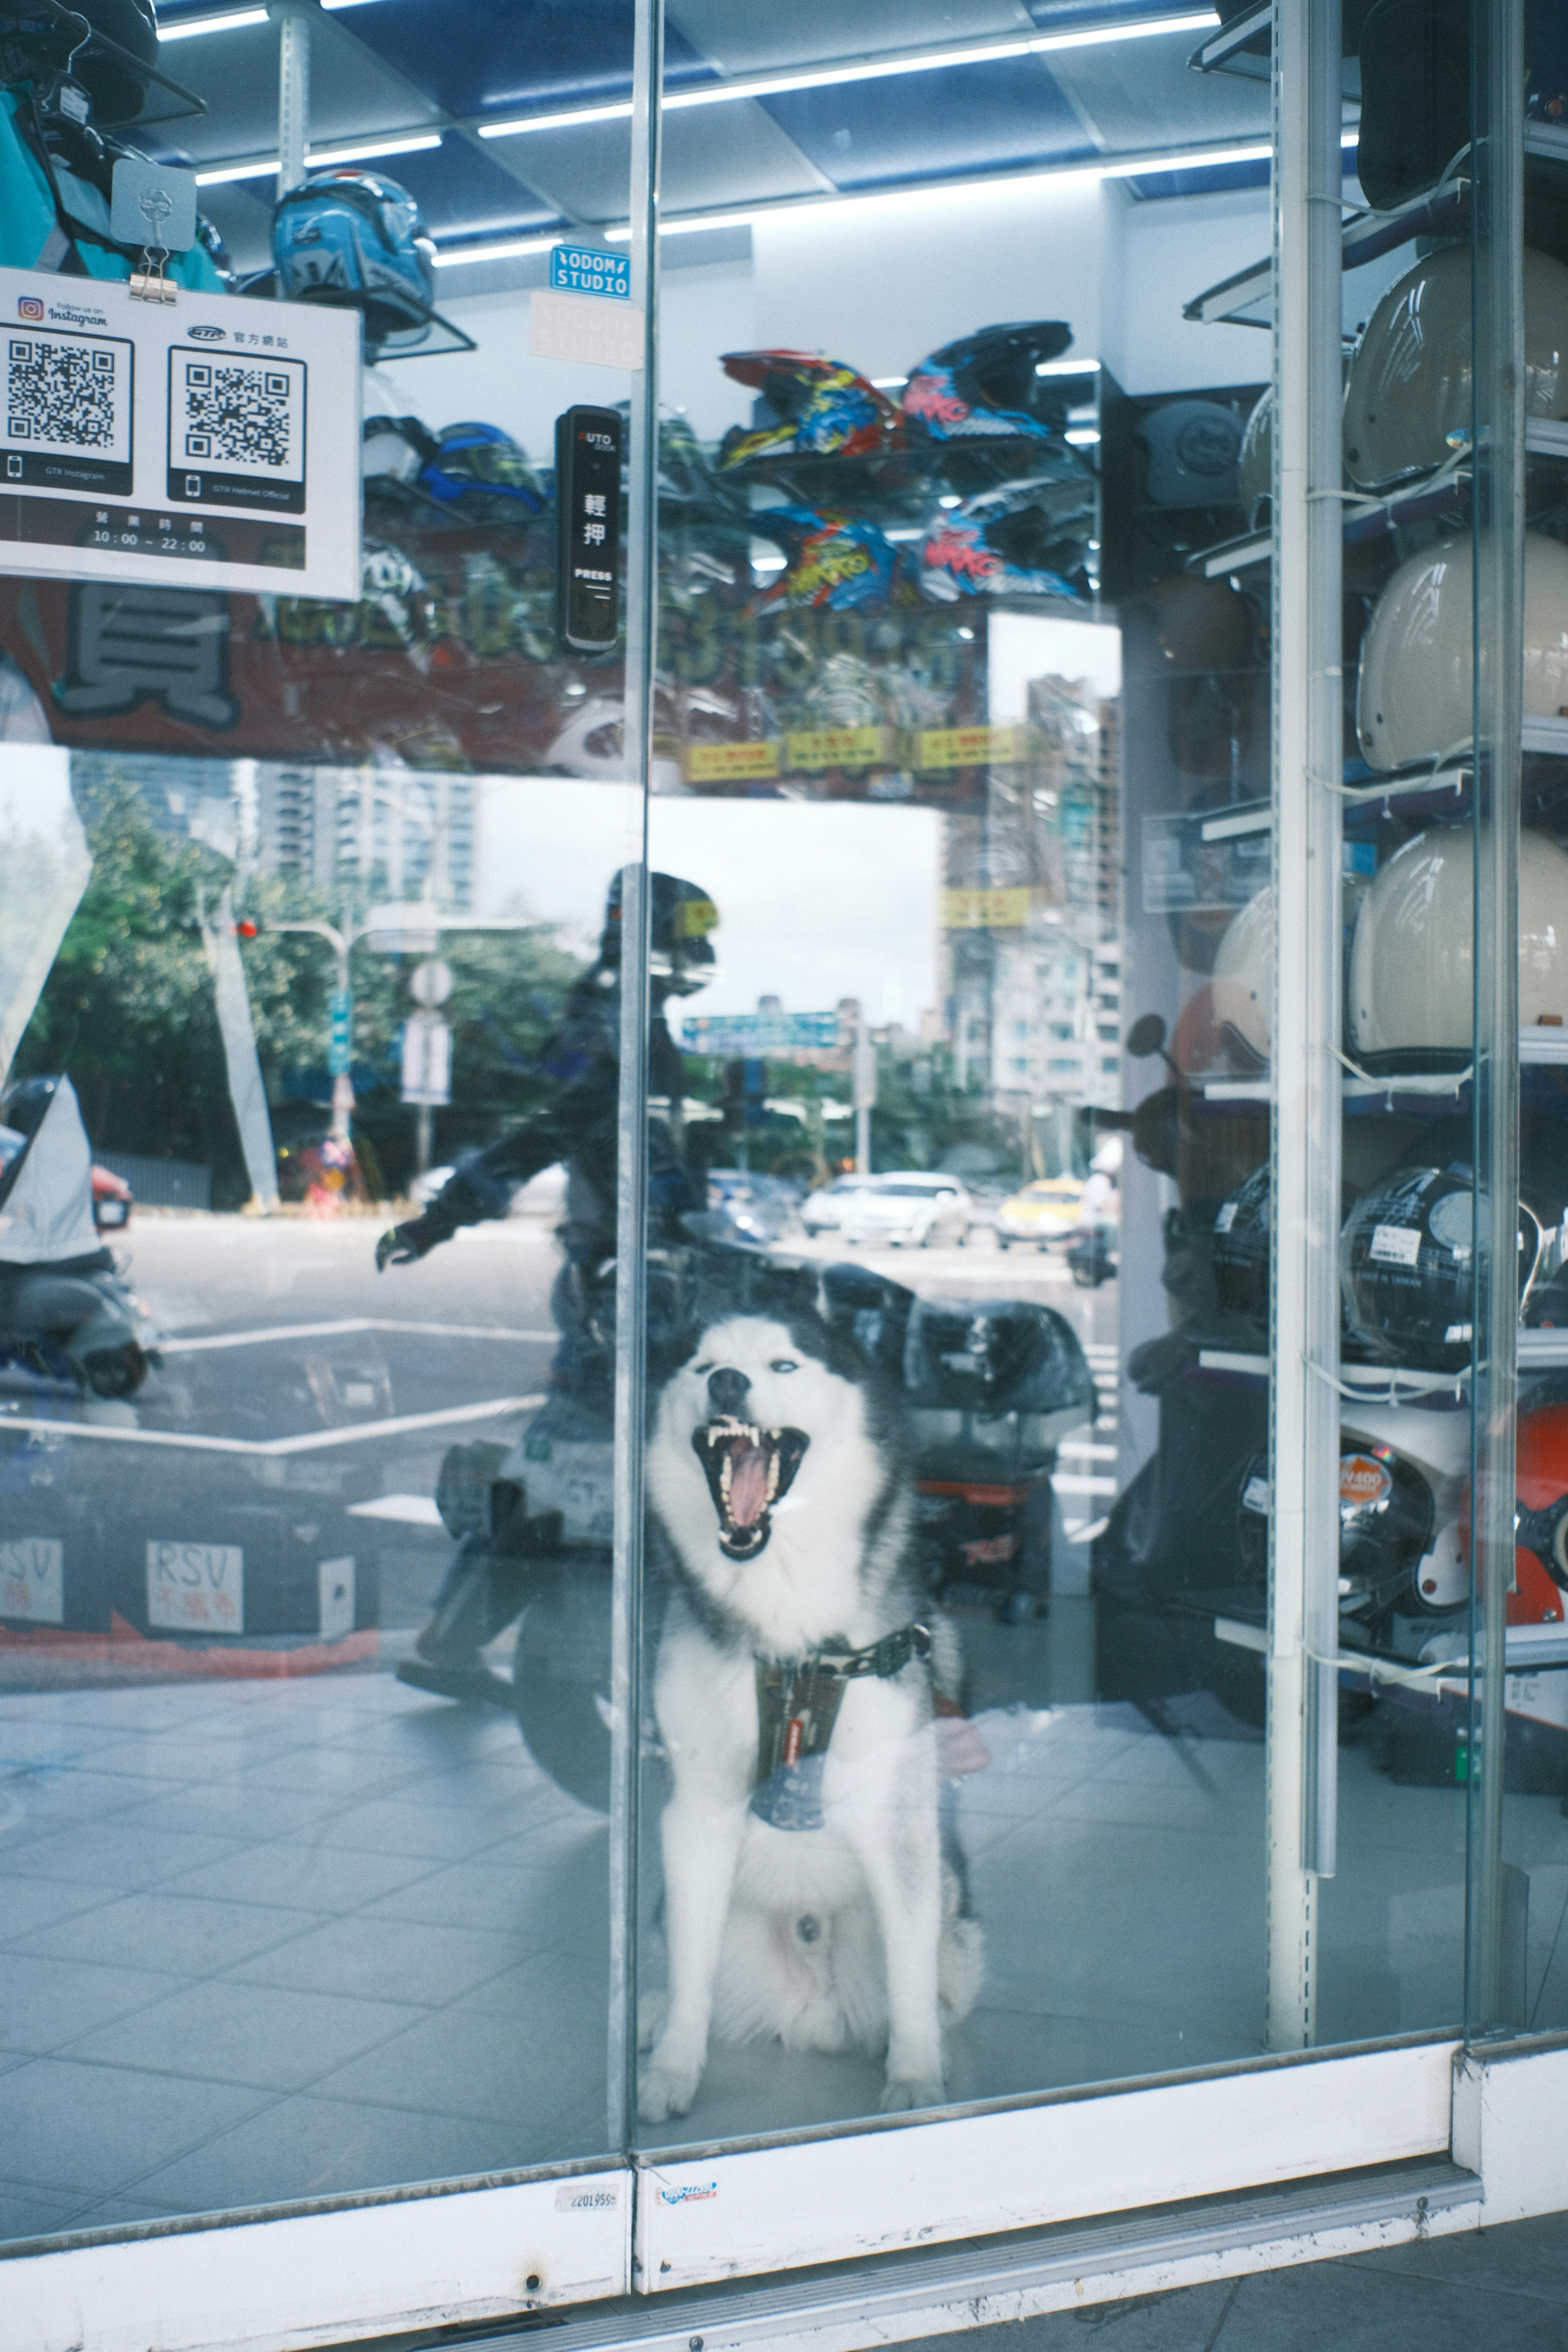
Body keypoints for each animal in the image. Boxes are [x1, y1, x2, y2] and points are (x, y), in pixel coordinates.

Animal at [639, 1307, 982, 2117]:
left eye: (783, 1364)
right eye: (702, 1366)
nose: (728, 1384)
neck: (790, 1638)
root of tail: (816, 2010)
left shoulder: (900, 1811)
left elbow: (912, 1982)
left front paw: (915, 2079)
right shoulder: (697, 1812)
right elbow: (691, 1977)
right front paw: (674, 2069)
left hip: (951, 1904)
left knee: (940, 1980)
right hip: (673, 1908)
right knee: (678, 1962)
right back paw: (649, 2013)